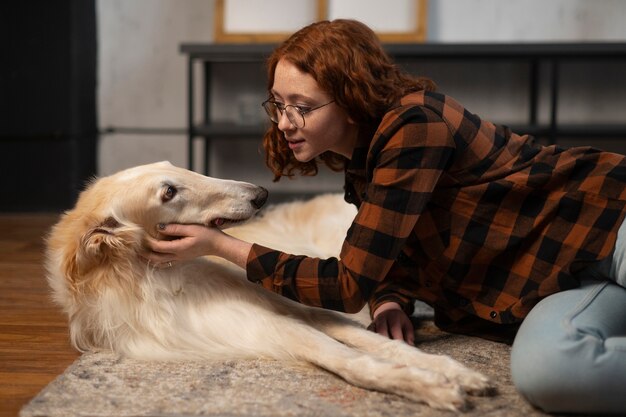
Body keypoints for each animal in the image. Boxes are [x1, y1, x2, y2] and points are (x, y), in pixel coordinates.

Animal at [46, 160, 490, 410]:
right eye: (169, 191)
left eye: (176, 166)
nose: (260, 193)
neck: (169, 276)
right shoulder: (268, 326)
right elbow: (351, 360)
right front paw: (433, 385)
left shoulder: (304, 307)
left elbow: (383, 345)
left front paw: (453, 372)